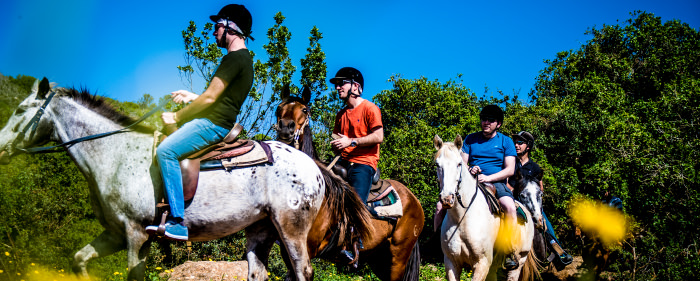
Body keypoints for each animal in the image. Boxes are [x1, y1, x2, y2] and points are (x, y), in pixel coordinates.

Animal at [274, 86, 424, 280]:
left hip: (398, 257)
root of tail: (414, 199)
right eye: (279, 108)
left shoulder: (308, 248)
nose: (286, 128)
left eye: (305, 110)